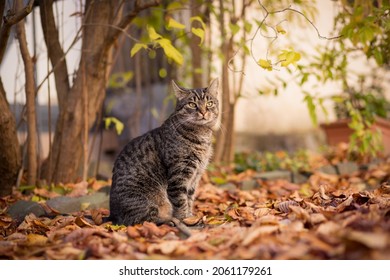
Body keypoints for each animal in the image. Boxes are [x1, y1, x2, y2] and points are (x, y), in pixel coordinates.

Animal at [109, 79, 219, 232]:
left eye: (209, 103)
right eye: (192, 104)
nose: (203, 112)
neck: (201, 134)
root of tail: (112, 216)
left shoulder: (195, 176)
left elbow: (190, 199)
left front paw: (191, 216)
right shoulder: (179, 176)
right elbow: (181, 202)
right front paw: (185, 220)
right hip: (147, 202)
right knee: (143, 221)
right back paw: (169, 221)